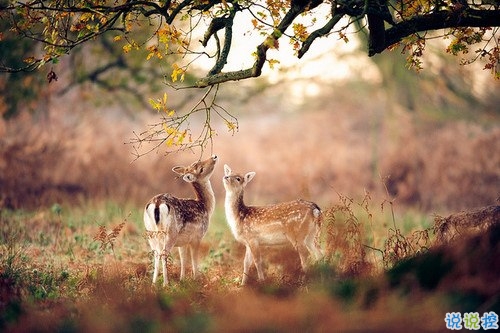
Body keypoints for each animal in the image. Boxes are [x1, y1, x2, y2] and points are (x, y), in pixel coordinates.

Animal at [143, 154, 217, 286]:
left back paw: (154, 283)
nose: (214, 156)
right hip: (170, 232)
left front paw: (182, 279)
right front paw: (196, 279)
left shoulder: (183, 242)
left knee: (156, 253)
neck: (205, 207)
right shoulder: (197, 237)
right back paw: (165, 283)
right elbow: (194, 259)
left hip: (150, 232)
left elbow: (183, 259)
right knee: (163, 253)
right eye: (201, 169)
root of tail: (156, 204)